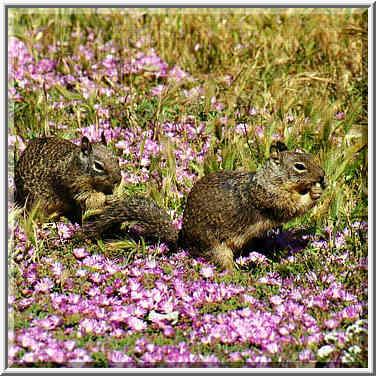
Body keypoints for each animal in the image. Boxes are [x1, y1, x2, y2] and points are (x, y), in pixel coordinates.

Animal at [83, 140, 324, 270]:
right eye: (300, 166)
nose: (322, 176)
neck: (269, 179)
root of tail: (184, 242)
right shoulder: (269, 197)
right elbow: (291, 207)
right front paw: (314, 194)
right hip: (217, 248)